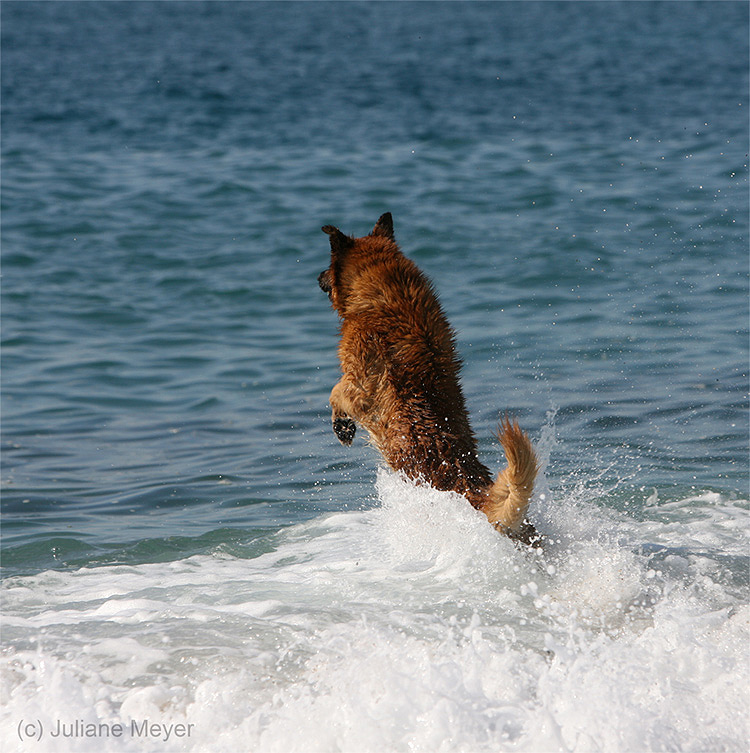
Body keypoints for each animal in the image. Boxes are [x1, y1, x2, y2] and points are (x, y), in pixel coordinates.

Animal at [318, 212, 540, 548]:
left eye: (328, 265)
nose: (316, 277)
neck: (384, 295)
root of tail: (482, 496)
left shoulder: (359, 384)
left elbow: (335, 393)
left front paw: (342, 426)